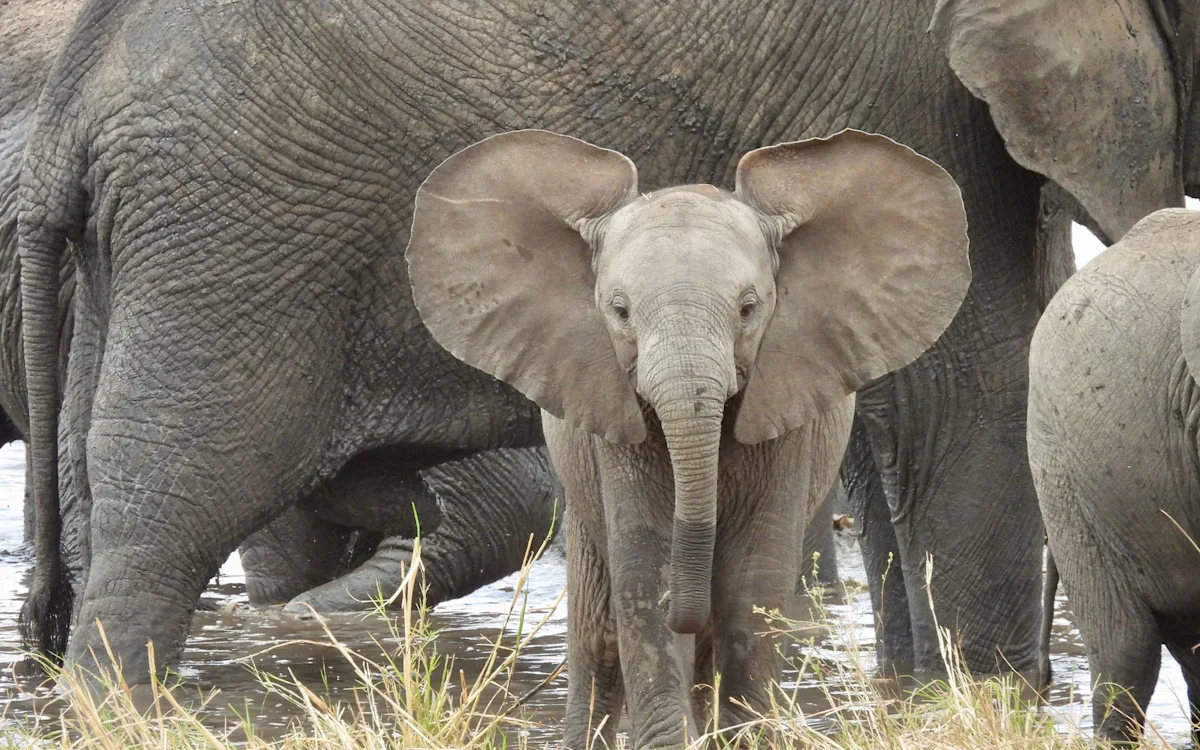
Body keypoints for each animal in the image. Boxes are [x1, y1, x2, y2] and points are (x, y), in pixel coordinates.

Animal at [18, 0, 1200, 685]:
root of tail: (71, 103)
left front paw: (913, 694)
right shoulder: (913, 92)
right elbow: (971, 399)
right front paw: (987, 696)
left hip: (135, 270)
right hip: (234, 250)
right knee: (168, 519)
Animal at [404, 128, 970, 748]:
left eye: (748, 309)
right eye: (619, 311)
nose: (687, 607)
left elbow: (751, 590)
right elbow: (644, 580)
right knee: (596, 644)